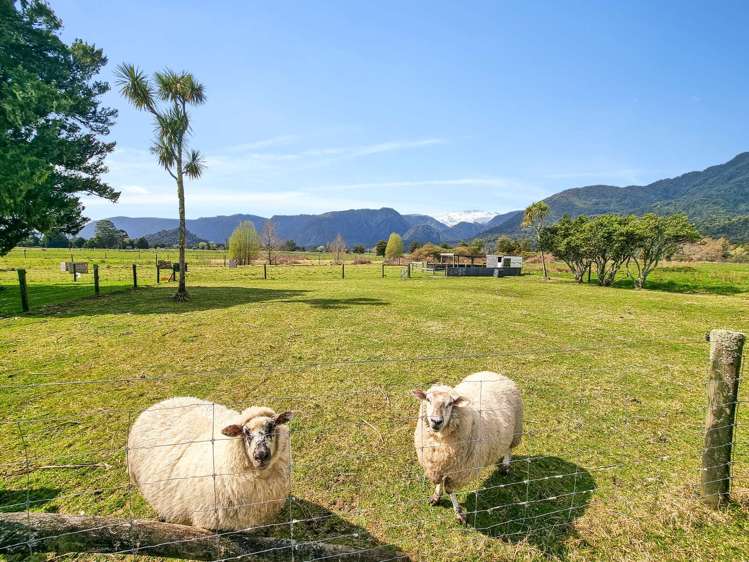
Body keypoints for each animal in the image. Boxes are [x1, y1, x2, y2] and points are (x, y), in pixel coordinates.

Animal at [412, 370, 524, 524]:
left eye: (450, 403)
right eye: (428, 399)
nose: (436, 421)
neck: (439, 440)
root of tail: (494, 373)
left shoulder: (458, 472)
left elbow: (449, 490)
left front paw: (459, 513)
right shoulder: (437, 465)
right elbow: (439, 482)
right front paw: (436, 496)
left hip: (515, 430)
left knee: (509, 449)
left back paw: (505, 466)